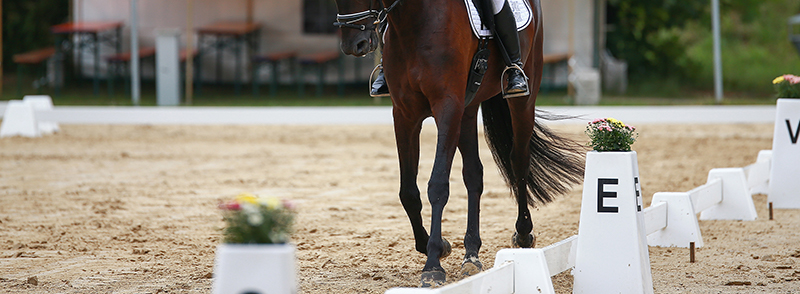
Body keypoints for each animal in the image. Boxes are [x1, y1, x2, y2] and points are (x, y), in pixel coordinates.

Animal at [334, 0, 584, 288]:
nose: (355, 45)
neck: (414, 23)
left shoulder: (448, 109)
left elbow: (438, 185)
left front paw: (433, 265)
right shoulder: (405, 114)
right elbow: (408, 191)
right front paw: (437, 247)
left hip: (522, 99)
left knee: (519, 160)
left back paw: (522, 234)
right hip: (468, 108)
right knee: (474, 174)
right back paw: (471, 256)